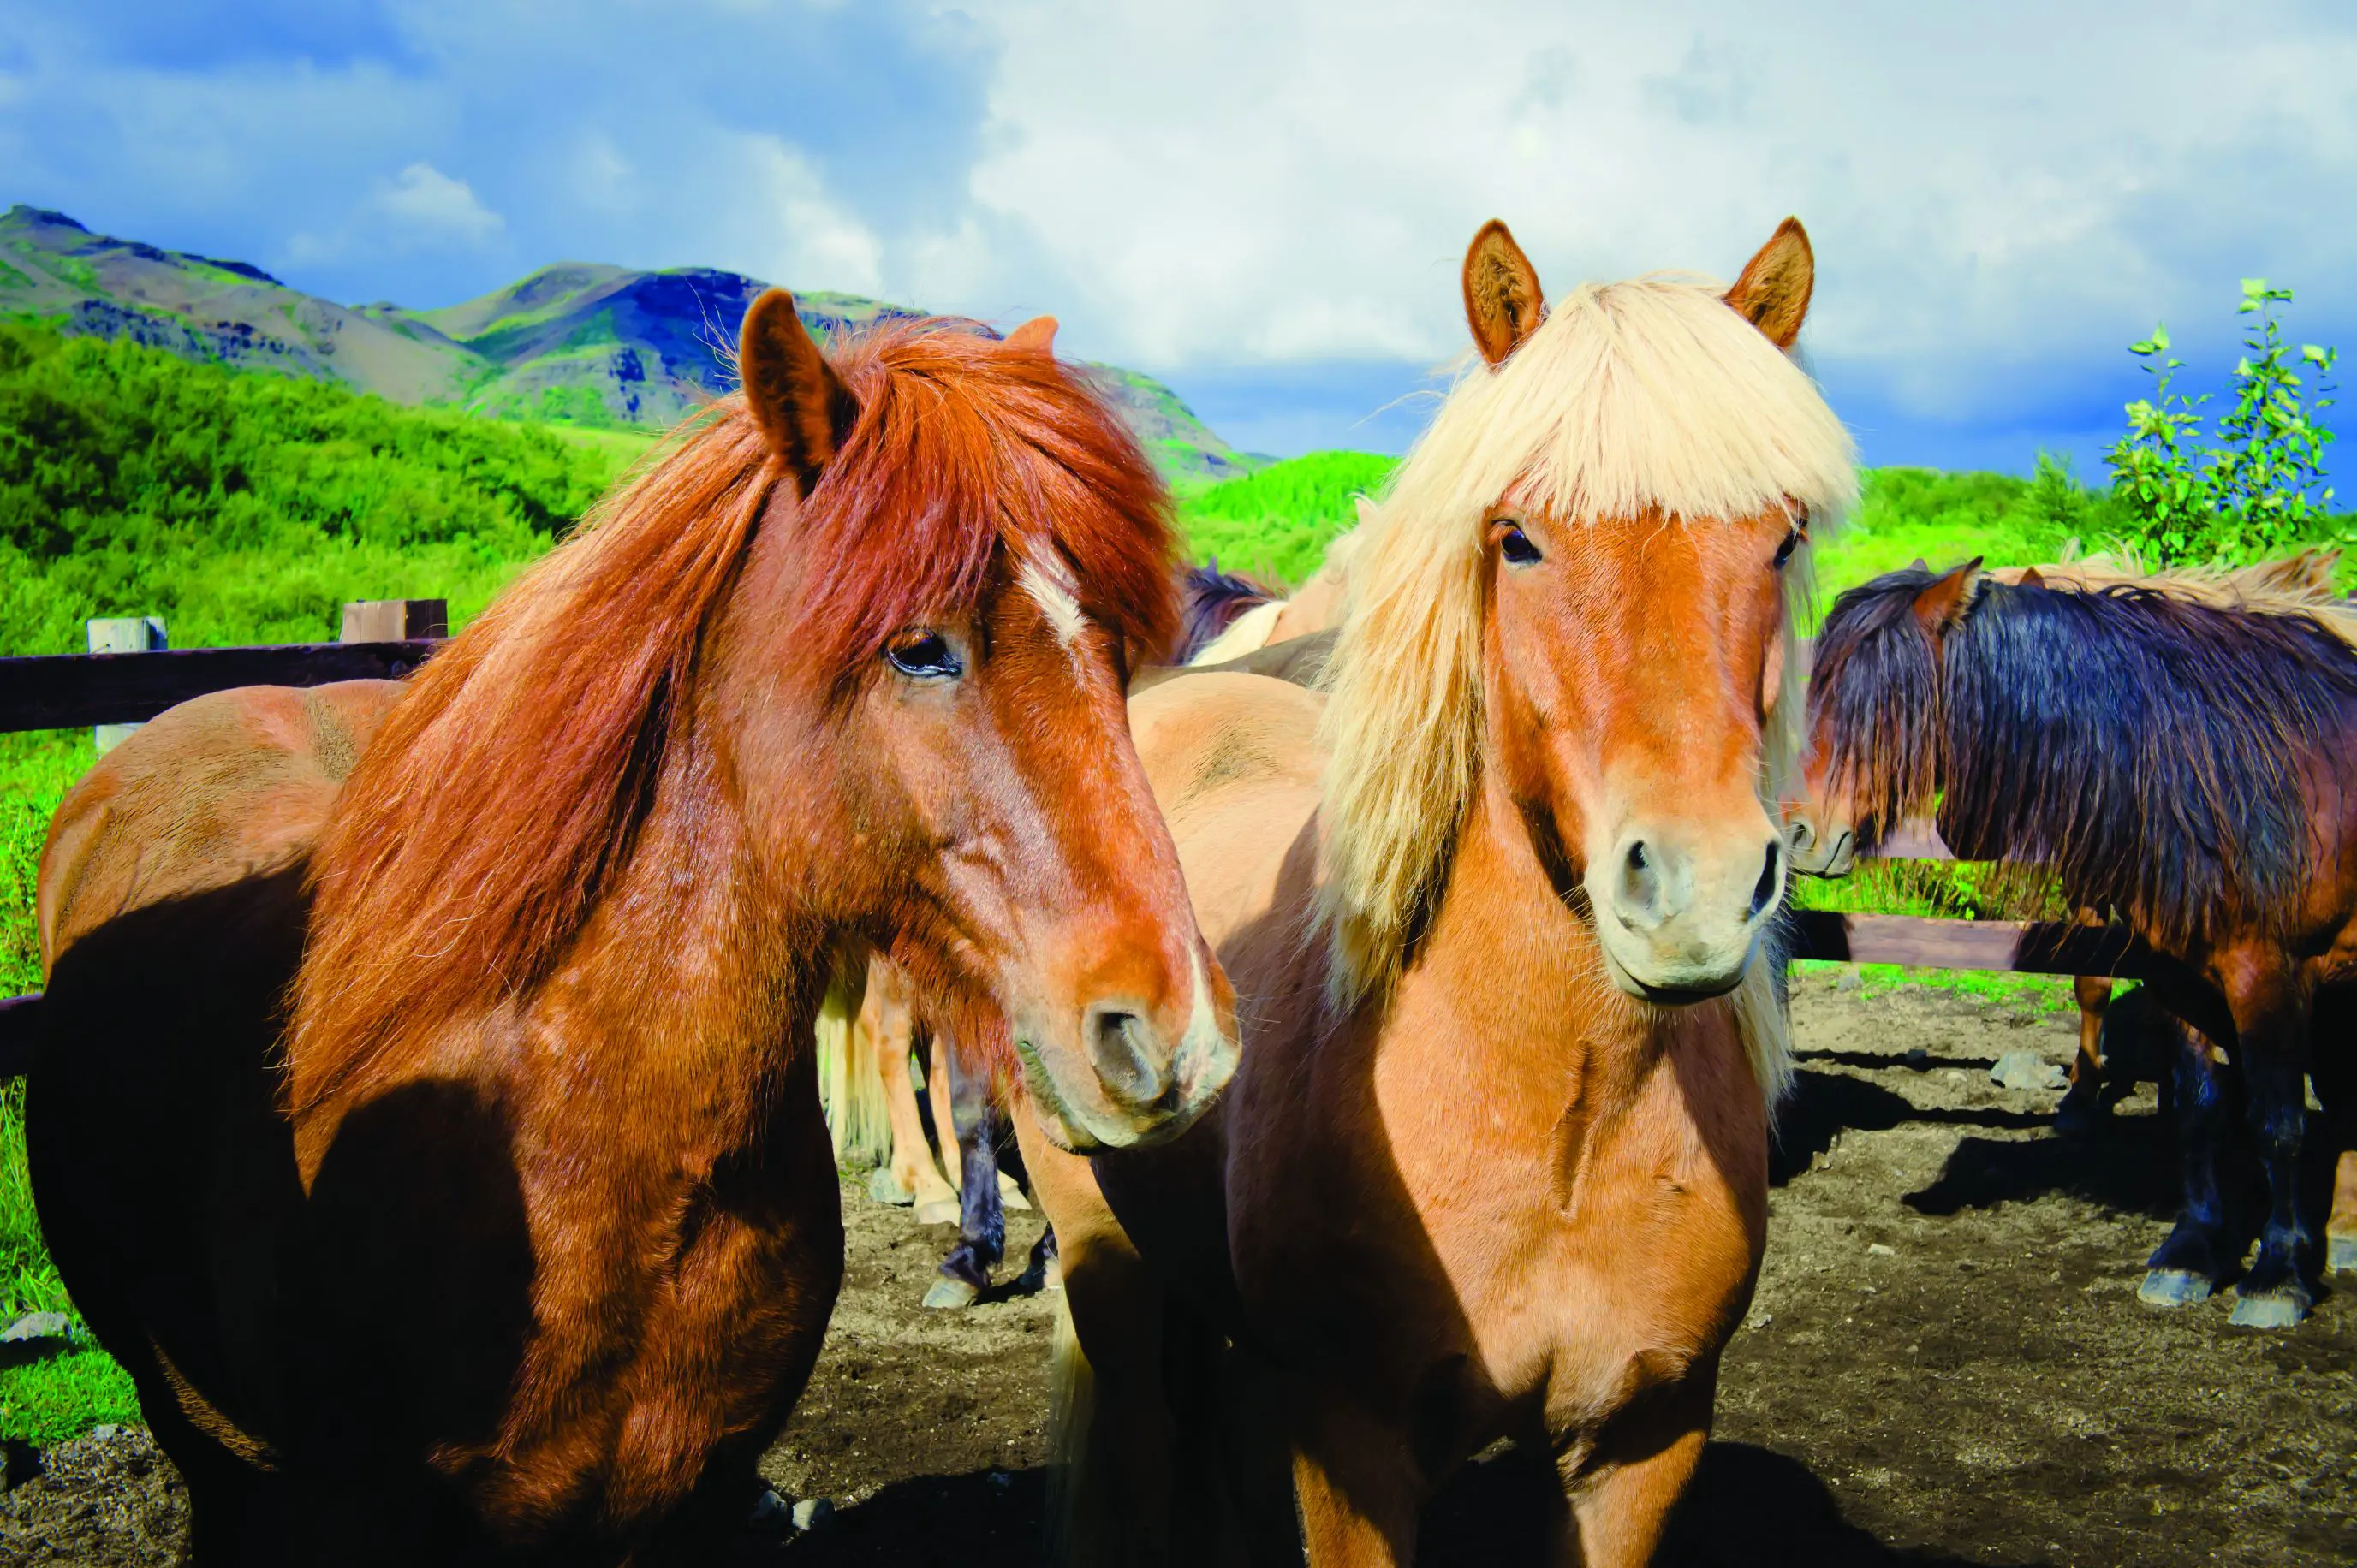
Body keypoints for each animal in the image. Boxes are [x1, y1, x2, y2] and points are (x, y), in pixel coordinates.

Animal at [1014, 215, 1854, 1566]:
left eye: (1778, 537)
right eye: (1517, 537)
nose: (1695, 888)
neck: (1561, 1120)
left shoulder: (1639, 1450)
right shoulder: (1353, 1447)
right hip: (1105, 1257)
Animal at [1787, 553, 2357, 1325]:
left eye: (1878, 705)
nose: (1794, 833)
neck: (2213, 776)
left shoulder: (2268, 973)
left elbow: (2278, 1123)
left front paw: (2277, 1274)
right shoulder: (2176, 974)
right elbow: (2201, 1111)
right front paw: (2190, 1255)